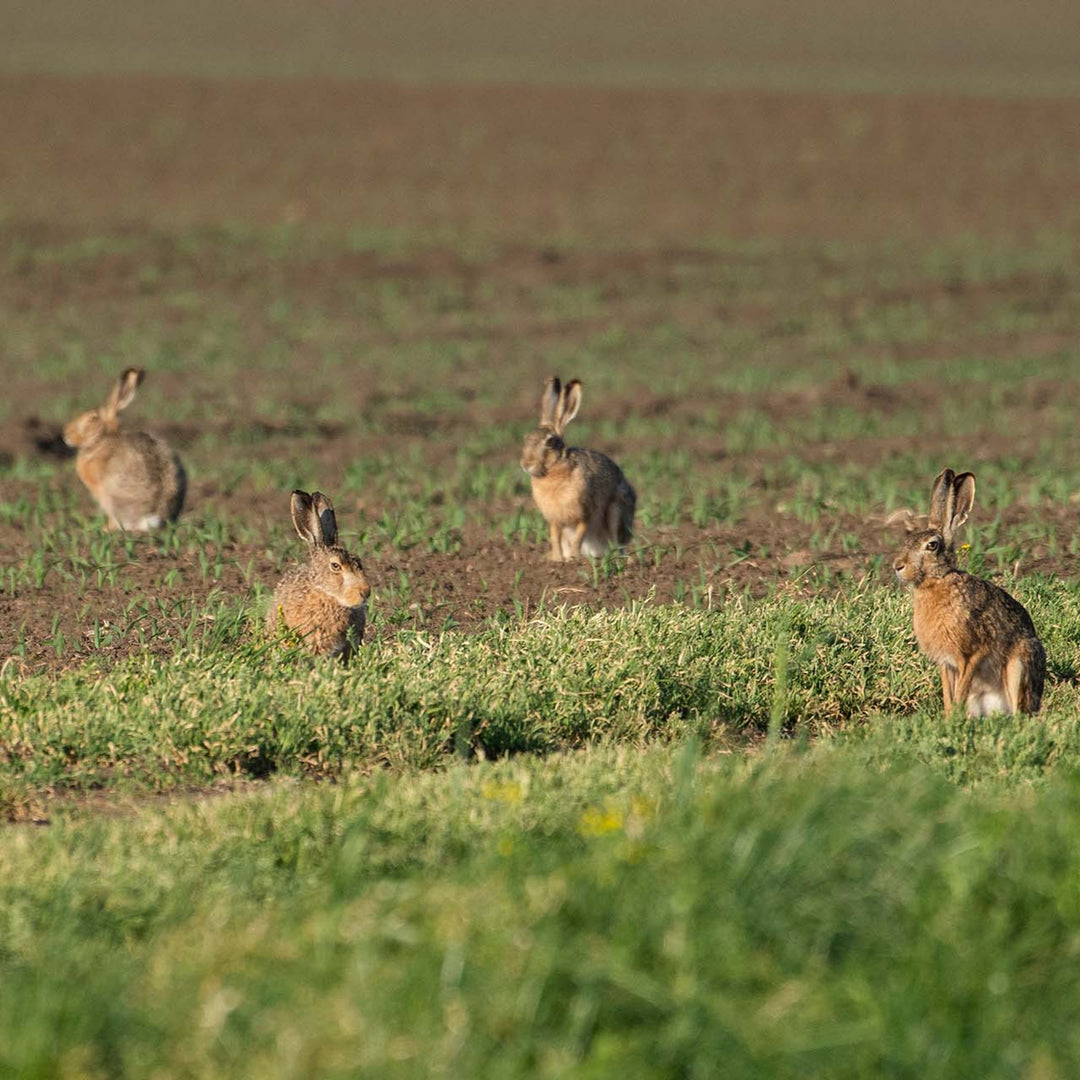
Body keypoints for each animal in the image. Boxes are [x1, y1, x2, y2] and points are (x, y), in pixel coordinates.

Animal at [520, 376, 636, 562]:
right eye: (526, 438)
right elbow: (555, 537)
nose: (525, 464)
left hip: (616, 512)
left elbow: (578, 537)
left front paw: (573, 559)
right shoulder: (555, 520)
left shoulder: (584, 513)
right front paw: (557, 559)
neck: (554, 469)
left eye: (550, 442)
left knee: (616, 542)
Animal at [893, 467, 1045, 716]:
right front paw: (948, 718)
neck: (938, 581)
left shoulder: (973, 654)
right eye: (908, 540)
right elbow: (949, 695)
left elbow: (961, 691)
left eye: (932, 545)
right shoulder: (946, 663)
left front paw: (954, 718)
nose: (898, 566)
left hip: (1018, 665)